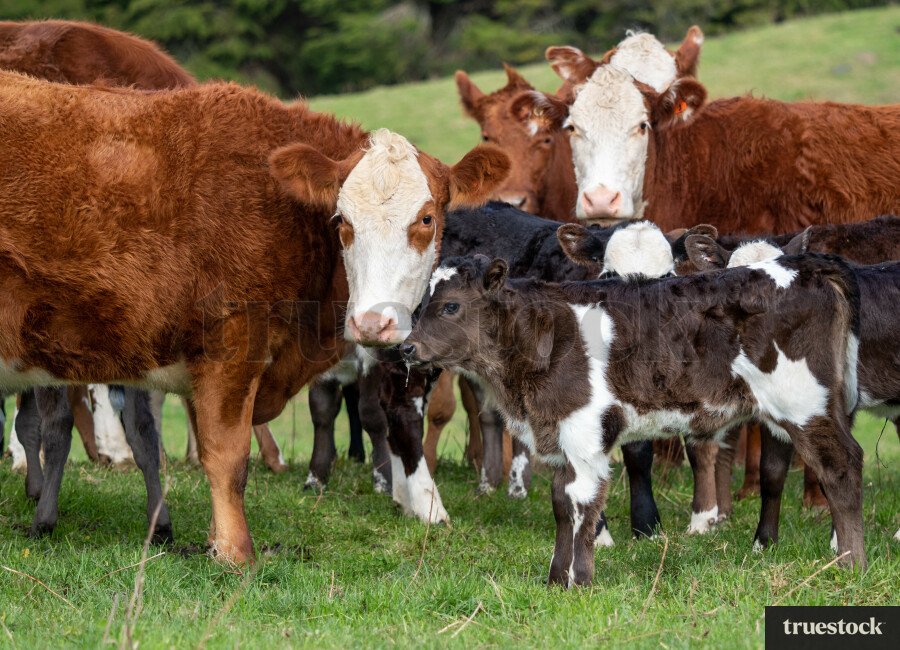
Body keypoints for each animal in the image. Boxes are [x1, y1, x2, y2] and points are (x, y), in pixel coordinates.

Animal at [0, 70, 508, 563]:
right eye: (341, 220)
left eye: (426, 219)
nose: (371, 323)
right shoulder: (231, 342)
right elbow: (226, 454)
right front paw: (235, 552)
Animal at [402, 252, 864, 586]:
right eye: (421, 306)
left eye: (451, 306)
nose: (407, 347)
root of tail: (806, 267)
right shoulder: (559, 439)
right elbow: (560, 505)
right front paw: (554, 580)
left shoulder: (585, 436)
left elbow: (583, 507)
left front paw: (580, 581)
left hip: (804, 404)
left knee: (842, 467)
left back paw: (850, 563)